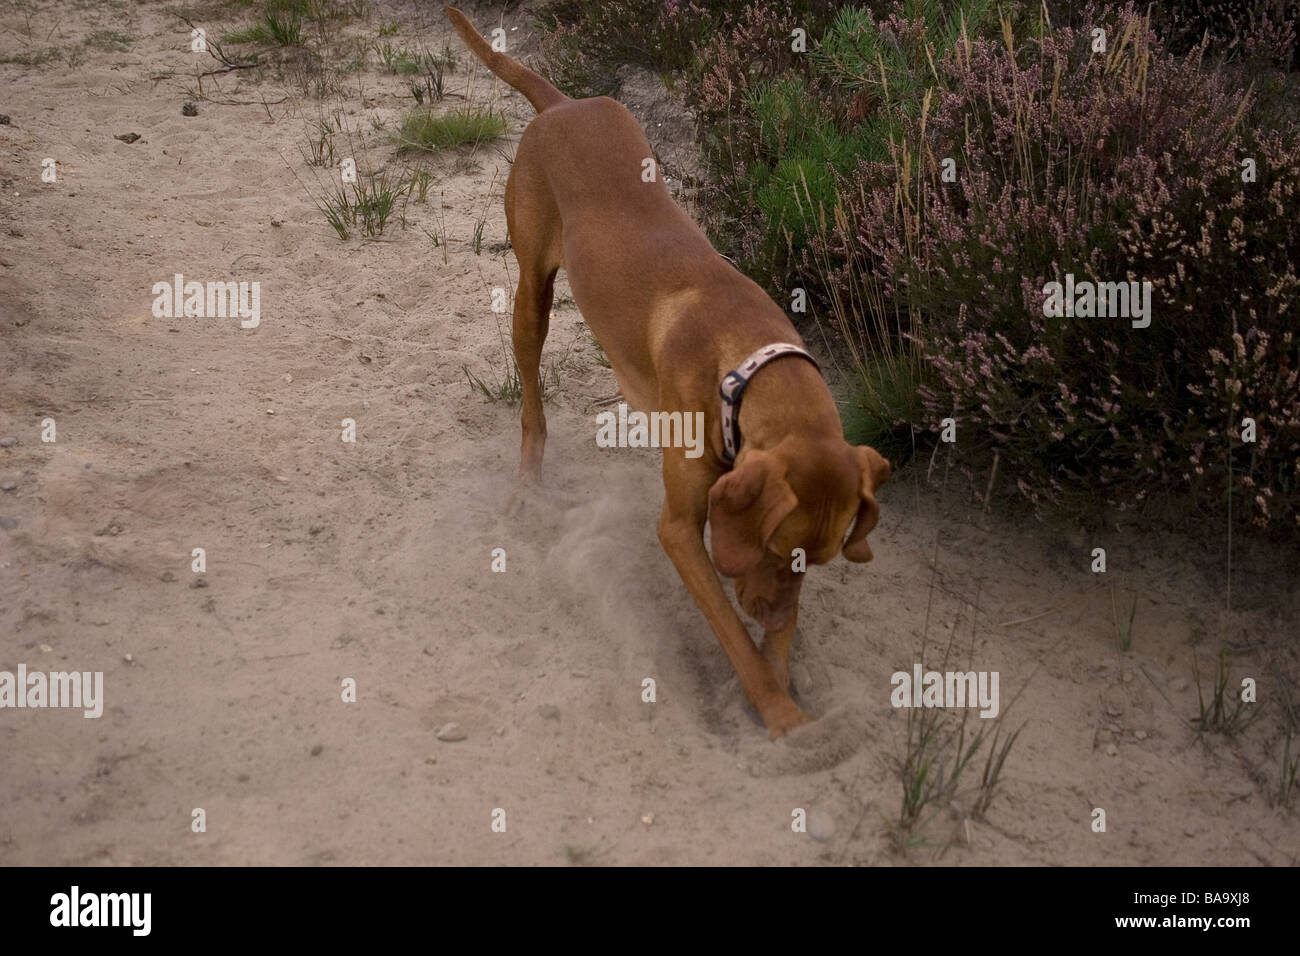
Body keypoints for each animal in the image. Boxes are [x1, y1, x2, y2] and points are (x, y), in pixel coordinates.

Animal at [444, 5, 883, 738]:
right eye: (773, 545)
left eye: (813, 560)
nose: (769, 612)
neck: (746, 365)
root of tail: (562, 103)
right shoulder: (679, 529)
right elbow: (734, 637)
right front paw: (776, 710)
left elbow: (774, 642)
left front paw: (787, 689)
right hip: (531, 298)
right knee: (532, 406)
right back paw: (527, 486)